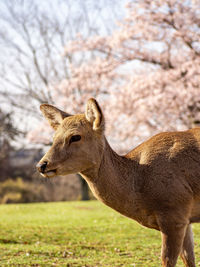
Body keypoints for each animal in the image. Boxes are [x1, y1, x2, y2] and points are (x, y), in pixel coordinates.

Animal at [36, 99, 200, 267]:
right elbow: (189, 259)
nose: (42, 165)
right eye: (54, 137)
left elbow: (167, 260)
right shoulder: (185, 219)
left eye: (75, 137)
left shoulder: (174, 210)